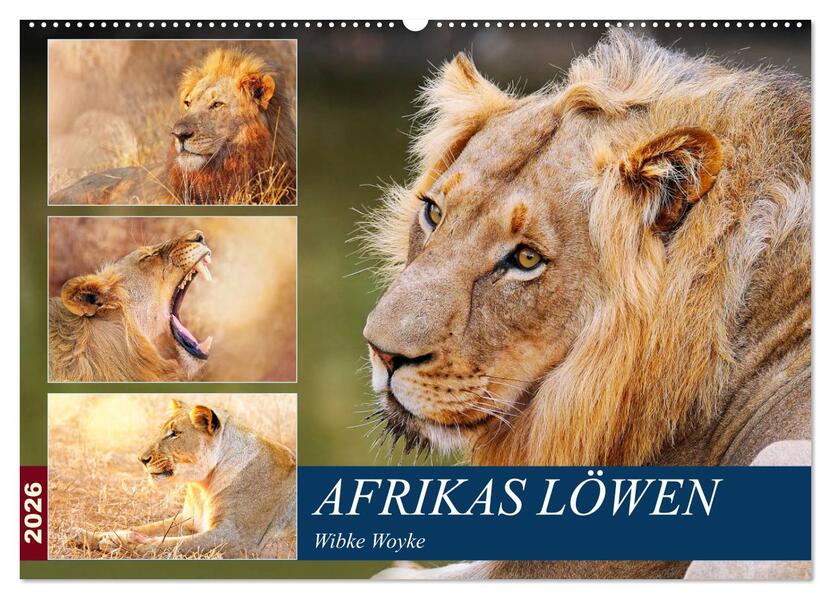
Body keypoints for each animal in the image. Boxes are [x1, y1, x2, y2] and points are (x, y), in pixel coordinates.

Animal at [69, 399, 297, 558]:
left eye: (174, 434)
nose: (142, 459)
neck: (203, 485)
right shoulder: (189, 520)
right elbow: (146, 528)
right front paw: (89, 535)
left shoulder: (237, 538)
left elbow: (175, 544)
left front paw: (123, 544)